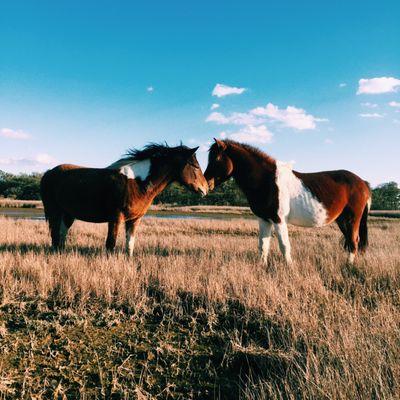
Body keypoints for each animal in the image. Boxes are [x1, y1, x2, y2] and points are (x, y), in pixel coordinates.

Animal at [40, 144, 208, 255]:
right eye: (195, 166)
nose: (205, 188)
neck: (137, 183)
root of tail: (49, 172)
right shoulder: (115, 218)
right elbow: (110, 244)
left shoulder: (134, 219)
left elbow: (129, 244)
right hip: (54, 212)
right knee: (55, 236)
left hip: (68, 214)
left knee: (62, 235)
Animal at [206, 139, 372, 264]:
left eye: (217, 158)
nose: (206, 183)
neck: (267, 180)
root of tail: (363, 183)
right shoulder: (264, 220)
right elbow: (263, 246)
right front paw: (262, 266)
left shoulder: (279, 220)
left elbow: (284, 246)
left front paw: (289, 267)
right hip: (342, 220)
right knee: (350, 241)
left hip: (352, 219)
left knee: (353, 241)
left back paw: (348, 265)